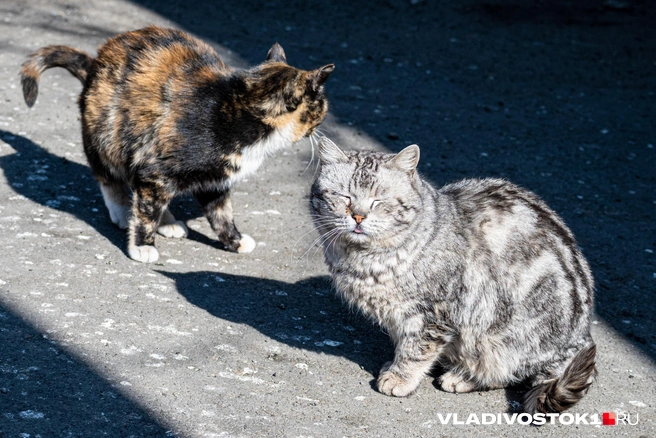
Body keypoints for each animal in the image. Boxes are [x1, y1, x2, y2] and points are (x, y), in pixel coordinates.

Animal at [20, 25, 334, 262]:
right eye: (322, 104)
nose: (325, 118)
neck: (239, 114)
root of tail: (97, 61)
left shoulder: (214, 181)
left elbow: (222, 213)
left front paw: (233, 240)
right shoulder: (155, 169)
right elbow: (146, 212)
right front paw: (142, 246)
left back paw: (168, 222)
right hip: (107, 136)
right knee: (111, 179)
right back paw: (123, 211)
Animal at [310, 139, 596, 414]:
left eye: (378, 200)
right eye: (344, 196)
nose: (358, 216)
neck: (365, 260)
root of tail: (580, 339)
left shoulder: (432, 314)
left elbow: (416, 349)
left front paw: (400, 377)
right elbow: (404, 342)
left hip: (508, 334)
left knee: (511, 372)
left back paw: (463, 377)